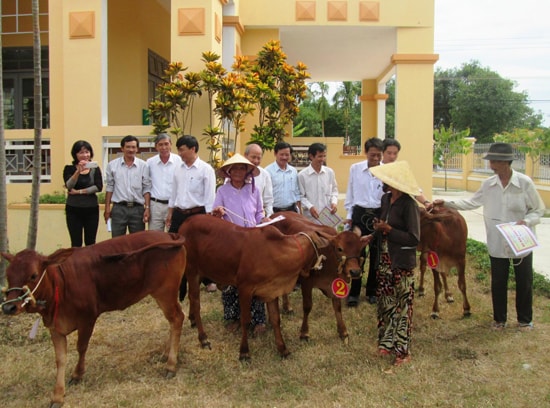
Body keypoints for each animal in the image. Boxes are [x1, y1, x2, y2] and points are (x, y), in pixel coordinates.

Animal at [0, 231, 188, 406]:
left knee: (177, 318)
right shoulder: (55, 327)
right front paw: (58, 396)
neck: (61, 283)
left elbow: (81, 347)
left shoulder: (88, 318)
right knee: (172, 321)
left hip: (165, 292)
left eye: (33, 275)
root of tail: (169, 235)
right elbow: (60, 359)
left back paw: (171, 364)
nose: (9, 307)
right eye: (8, 274)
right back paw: (167, 353)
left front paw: (77, 374)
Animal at [179, 214, 332, 360]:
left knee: (192, 299)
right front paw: (244, 352)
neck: (276, 252)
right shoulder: (244, 289)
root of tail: (186, 222)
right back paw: (203, 339)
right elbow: (245, 320)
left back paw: (192, 320)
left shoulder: (271, 290)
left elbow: (276, 319)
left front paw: (283, 349)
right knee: (196, 302)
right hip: (192, 272)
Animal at [272, 212, 366, 342]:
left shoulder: (333, 283)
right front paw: (304, 333)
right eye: (340, 248)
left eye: (360, 249)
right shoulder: (306, 283)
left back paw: (287, 307)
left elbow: (337, 307)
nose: (355, 272)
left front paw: (343, 331)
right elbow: (307, 307)